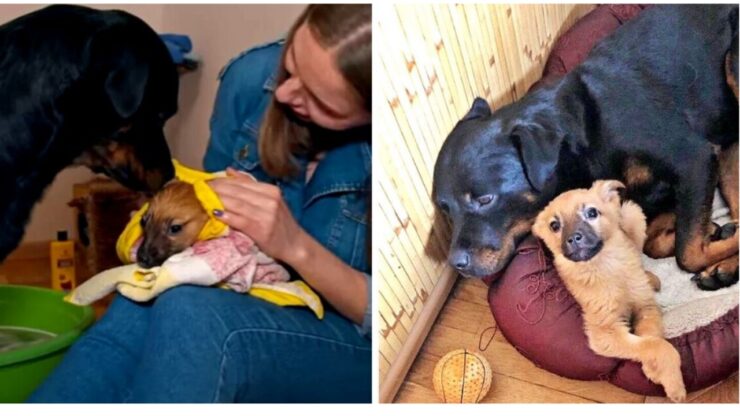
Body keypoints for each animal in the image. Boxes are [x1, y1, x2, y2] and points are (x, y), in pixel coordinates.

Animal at [434, 4, 740, 290]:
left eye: (485, 199)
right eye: (446, 210)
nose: (457, 263)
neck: (582, 135)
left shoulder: (694, 161)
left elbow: (687, 253)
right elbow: (655, 241)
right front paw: (713, 231)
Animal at [532, 181, 688, 404]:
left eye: (591, 212)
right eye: (555, 226)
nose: (573, 239)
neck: (605, 266)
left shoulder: (646, 306)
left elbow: (652, 335)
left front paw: (657, 371)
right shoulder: (605, 332)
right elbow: (656, 345)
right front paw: (672, 382)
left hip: (632, 212)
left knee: (637, 253)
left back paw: (649, 277)